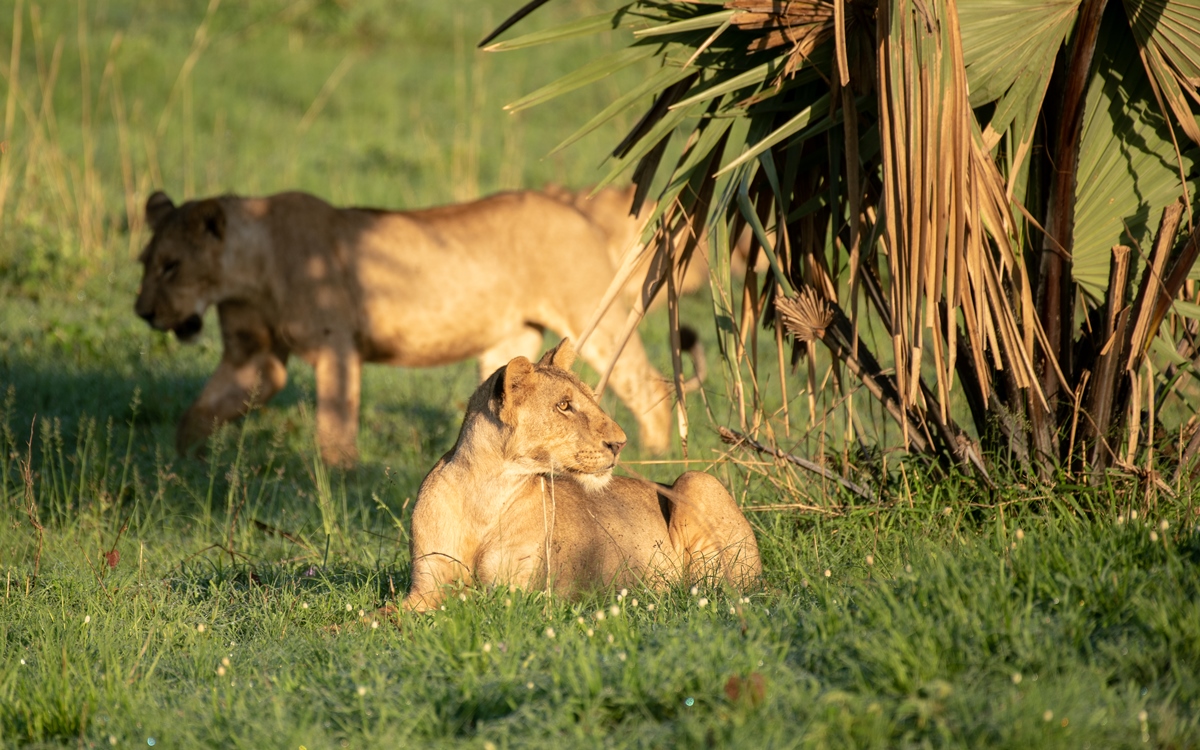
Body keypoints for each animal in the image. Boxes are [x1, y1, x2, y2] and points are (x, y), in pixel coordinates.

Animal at [130, 189, 686, 465]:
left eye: (172, 266)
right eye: (146, 262)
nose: (143, 313)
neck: (247, 273)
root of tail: (578, 209)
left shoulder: (336, 347)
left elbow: (335, 425)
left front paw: (340, 479)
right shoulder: (254, 359)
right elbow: (200, 411)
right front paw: (179, 465)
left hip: (593, 311)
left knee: (647, 384)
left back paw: (655, 456)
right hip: (509, 342)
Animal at [403, 336, 758, 612]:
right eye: (564, 406)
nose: (620, 443)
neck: (484, 495)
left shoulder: (519, 595)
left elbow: (466, 605)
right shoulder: (425, 586)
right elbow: (394, 615)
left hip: (696, 482)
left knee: (711, 590)